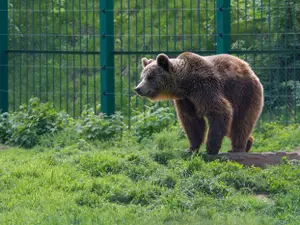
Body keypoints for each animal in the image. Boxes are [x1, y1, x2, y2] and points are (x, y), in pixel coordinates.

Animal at [135, 52, 264, 155]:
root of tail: (249, 69)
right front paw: (191, 148)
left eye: (150, 77)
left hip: (244, 93)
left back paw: (237, 148)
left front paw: (211, 148)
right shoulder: (186, 99)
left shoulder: (203, 87)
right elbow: (191, 120)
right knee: (232, 127)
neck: (185, 83)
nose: (138, 88)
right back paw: (248, 143)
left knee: (241, 122)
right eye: (142, 76)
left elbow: (219, 110)